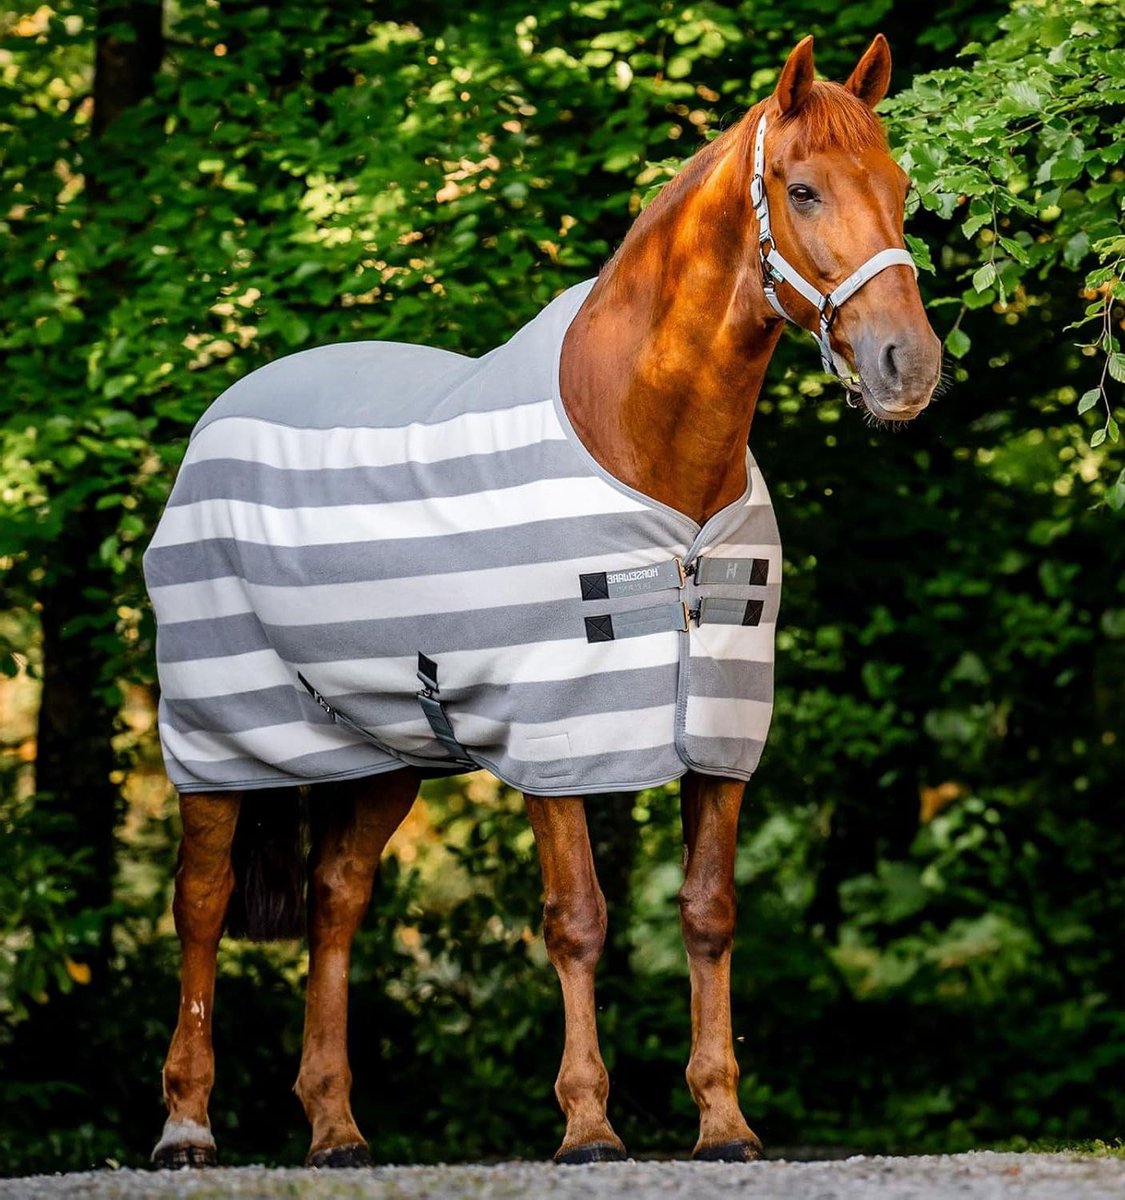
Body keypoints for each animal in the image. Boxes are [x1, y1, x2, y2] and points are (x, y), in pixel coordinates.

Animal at [147, 33, 941, 1168]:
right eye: (802, 189)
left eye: (901, 187)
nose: (906, 367)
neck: (648, 451)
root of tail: (222, 412)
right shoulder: (552, 733)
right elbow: (577, 917)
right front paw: (588, 1125)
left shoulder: (720, 731)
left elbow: (708, 913)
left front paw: (723, 1123)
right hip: (218, 725)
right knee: (202, 903)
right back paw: (187, 1124)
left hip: (385, 745)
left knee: (335, 901)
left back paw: (337, 1128)